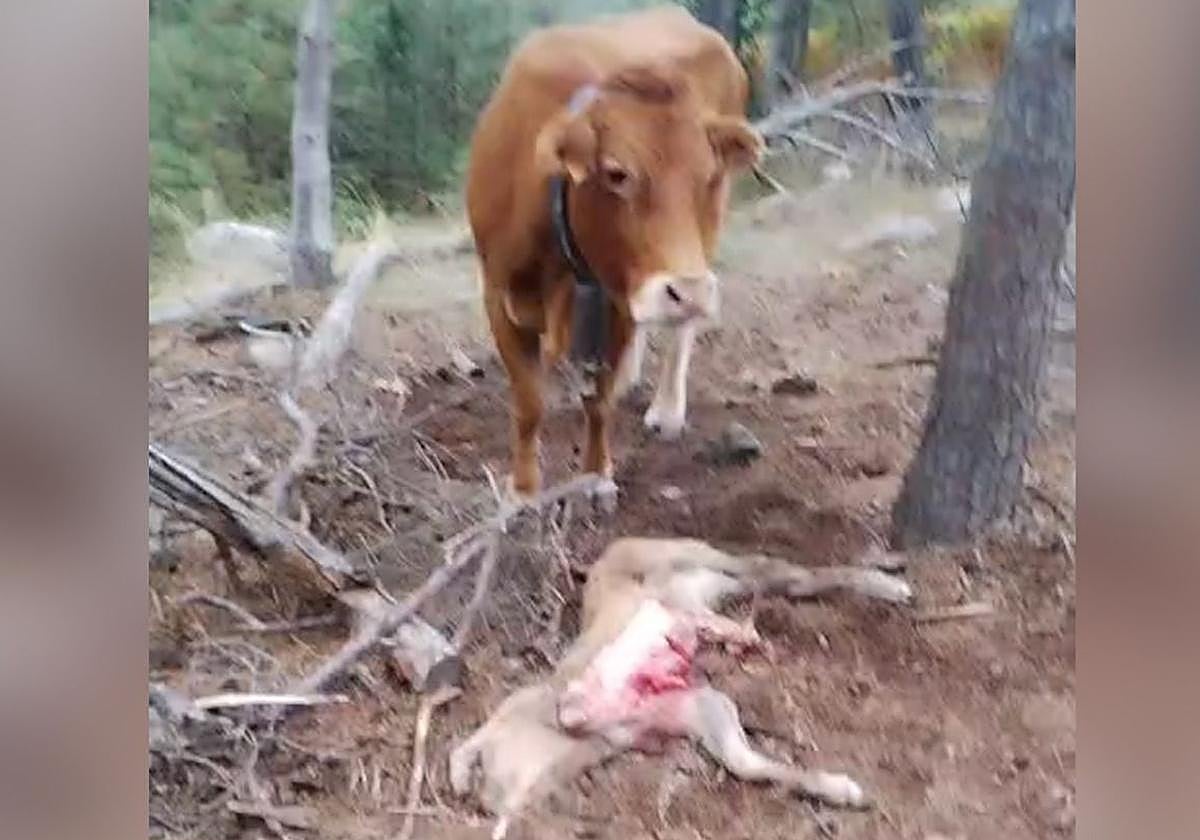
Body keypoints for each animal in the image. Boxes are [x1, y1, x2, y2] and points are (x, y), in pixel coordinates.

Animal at [465, 6, 763, 503]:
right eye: (617, 173)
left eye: (708, 175)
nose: (688, 291)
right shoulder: (498, 293)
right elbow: (528, 402)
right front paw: (524, 489)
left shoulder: (618, 296)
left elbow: (598, 401)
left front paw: (596, 475)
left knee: (681, 329)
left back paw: (667, 409)